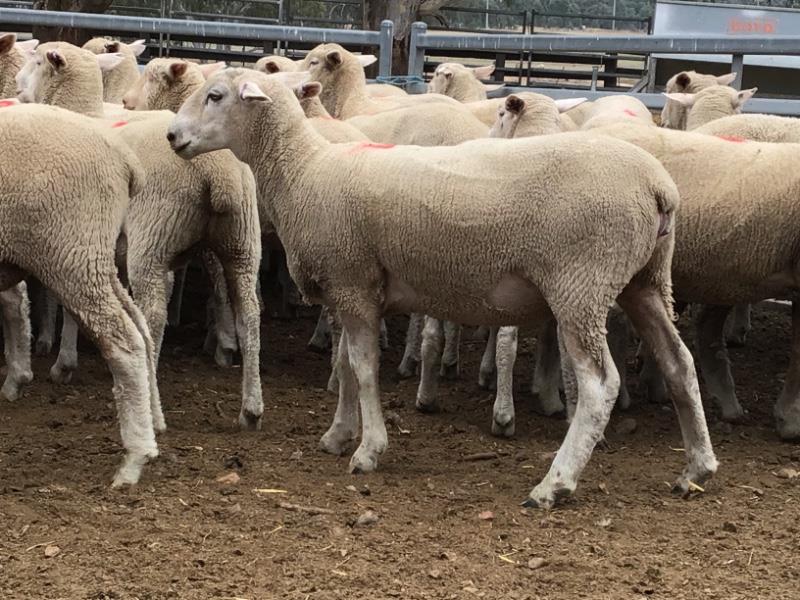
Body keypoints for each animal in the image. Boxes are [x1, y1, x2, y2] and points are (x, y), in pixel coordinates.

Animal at [0, 102, 162, 488]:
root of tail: (122, 158)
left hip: (72, 253)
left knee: (125, 343)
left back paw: (133, 460)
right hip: (93, 260)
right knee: (142, 331)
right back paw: (152, 428)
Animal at [18, 44, 264, 434]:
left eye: (39, 61)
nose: (15, 85)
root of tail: (217, 171)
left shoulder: (74, 238)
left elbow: (71, 305)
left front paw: (64, 363)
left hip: (151, 240)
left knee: (154, 316)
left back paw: (153, 405)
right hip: (241, 242)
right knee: (250, 314)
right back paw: (251, 409)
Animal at [167, 70, 720, 510]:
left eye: (215, 96)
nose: (171, 135)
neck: (302, 171)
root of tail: (658, 187)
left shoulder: (352, 282)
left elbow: (363, 368)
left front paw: (368, 450)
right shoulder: (352, 289)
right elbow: (344, 364)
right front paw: (338, 435)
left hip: (581, 285)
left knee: (600, 384)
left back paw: (555, 484)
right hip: (644, 282)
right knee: (679, 363)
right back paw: (696, 467)